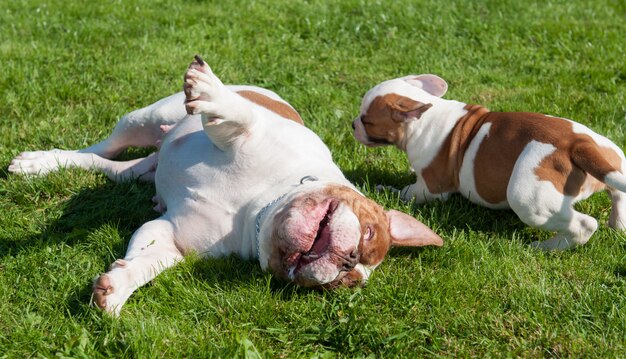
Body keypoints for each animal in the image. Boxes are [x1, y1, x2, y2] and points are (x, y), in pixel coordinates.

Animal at [7, 57, 442, 316]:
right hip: (143, 117)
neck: (258, 208)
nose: (349, 262)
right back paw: (40, 162)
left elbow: (149, 261)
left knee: (108, 166)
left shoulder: (170, 236)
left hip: (137, 168)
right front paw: (212, 93)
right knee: (101, 147)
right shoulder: (249, 132)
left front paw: (118, 286)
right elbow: (240, 118)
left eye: (345, 284)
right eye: (368, 233)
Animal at [352, 74, 624, 250]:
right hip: (613, 156)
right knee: (617, 194)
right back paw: (618, 225)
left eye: (367, 120)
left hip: (527, 201)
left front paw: (383, 189)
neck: (424, 117)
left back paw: (545, 246)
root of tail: (578, 145)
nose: (353, 124)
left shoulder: (430, 189)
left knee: (584, 225)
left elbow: (405, 193)